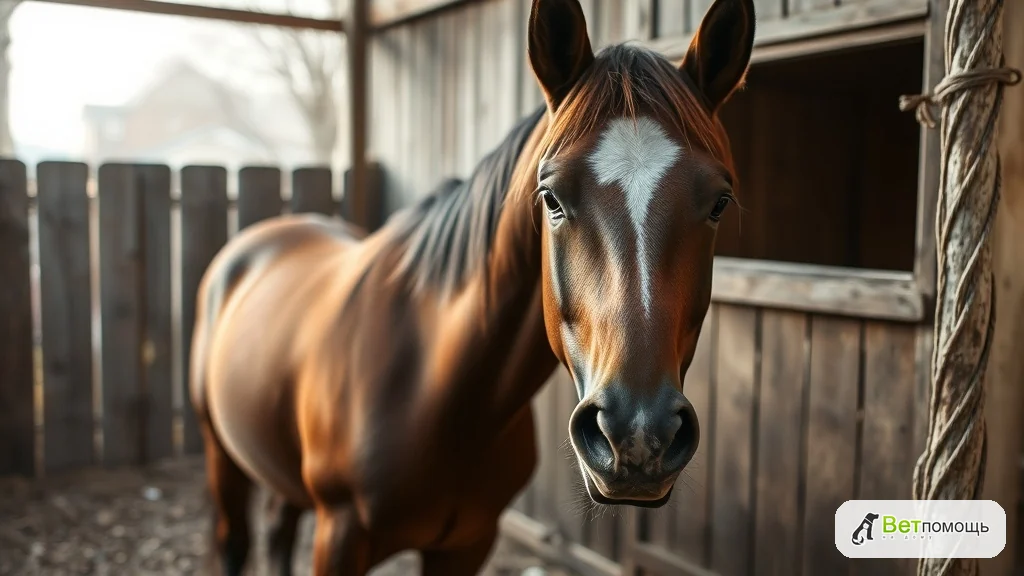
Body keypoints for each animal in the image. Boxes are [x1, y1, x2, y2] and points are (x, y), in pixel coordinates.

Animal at [189, 0, 754, 573]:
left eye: (719, 203)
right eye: (551, 197)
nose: (638, 435)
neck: (439, 387)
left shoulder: (468, 543)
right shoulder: (340, 535)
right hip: (222, 455)